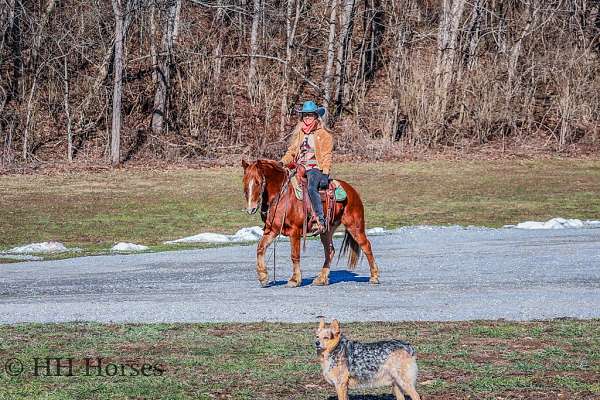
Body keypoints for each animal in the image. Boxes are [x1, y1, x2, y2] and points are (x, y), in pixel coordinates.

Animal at [240, 158, 378, 286]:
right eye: (245, 182)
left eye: (258, 182)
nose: (251, 209)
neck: (282, 195)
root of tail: (352, 191)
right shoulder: (272, 230)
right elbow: (260, 248)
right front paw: (263, 277)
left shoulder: (294, 231)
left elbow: (294, 255)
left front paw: (294, 280)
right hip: (327, 230)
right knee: (330, 251)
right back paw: (321, 279)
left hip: (354, 226)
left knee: (366, 246)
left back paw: (374, 277)